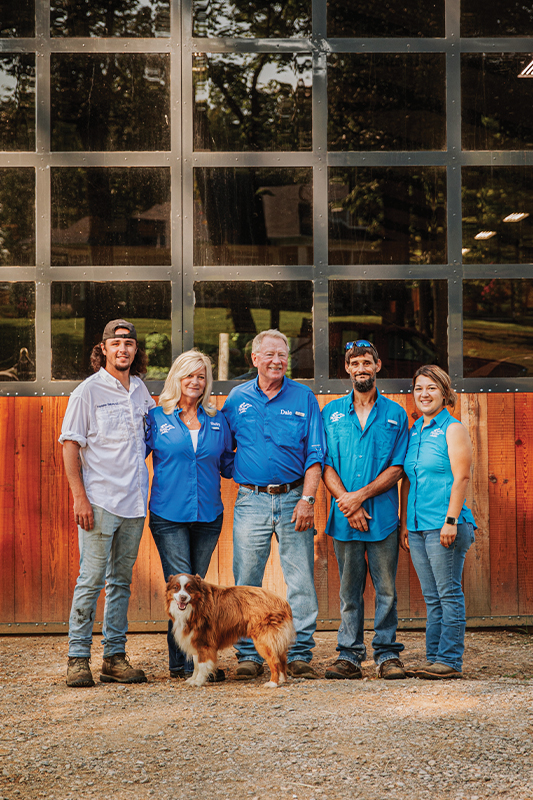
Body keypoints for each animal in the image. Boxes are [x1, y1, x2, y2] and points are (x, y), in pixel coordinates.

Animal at [166, 576, 296, 688]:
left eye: (190, 588)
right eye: (176, 587)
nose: (182, 597)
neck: (198, 604)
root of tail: (283, 602)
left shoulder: (204, 643)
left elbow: (202, 665)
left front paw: (198, 681)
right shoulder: (196, 641)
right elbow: (196, 664)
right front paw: (193, 679)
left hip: (264, 641)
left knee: (275, 661)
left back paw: (273, 683)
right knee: (282, 659)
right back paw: (282, 679)